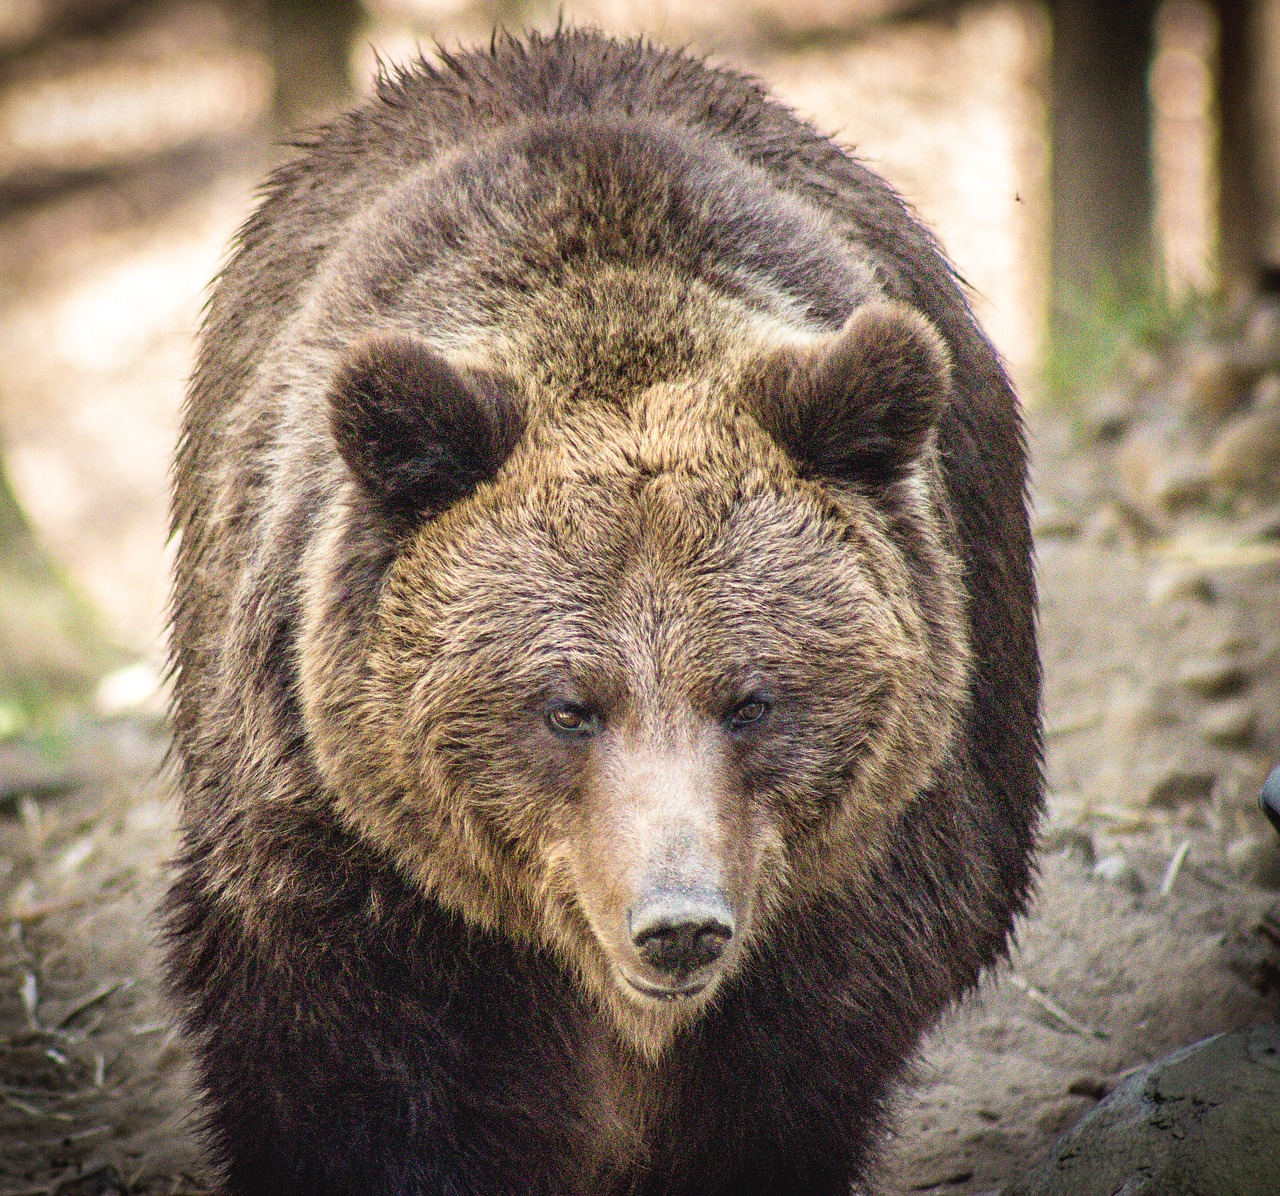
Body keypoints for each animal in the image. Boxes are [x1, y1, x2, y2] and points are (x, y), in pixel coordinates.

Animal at [162, 25, 1039, 1196]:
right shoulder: (342, 857)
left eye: (752, 698)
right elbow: (345, 1078)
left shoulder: (866, 873)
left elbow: (788, 1084)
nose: (678, 924)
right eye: (566, 705)